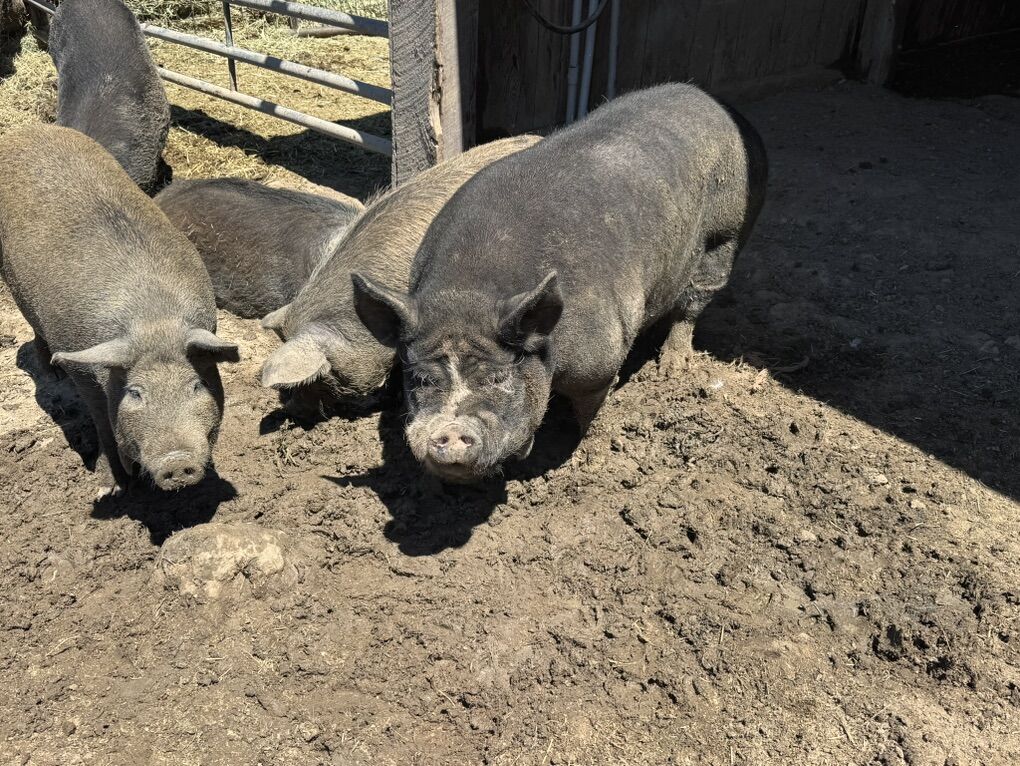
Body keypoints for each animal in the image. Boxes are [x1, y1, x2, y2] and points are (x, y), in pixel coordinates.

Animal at [0, 124, 239, 493]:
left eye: (196, 385)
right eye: (135, 393)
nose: (176, 462)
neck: (153, 320)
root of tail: (26, 131)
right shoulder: (82, 365)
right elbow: (101, 419)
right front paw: (112, 486)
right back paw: (52, 373)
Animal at [352, 83, 768, 483]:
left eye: (499, 377)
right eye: (420, 379)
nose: (451, 431)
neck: (468, 291)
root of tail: (727, 110)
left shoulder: (601, 361)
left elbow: (591, 411)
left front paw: (591, 460)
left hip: (725, 235)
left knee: (694, 302)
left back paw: (671, 369)